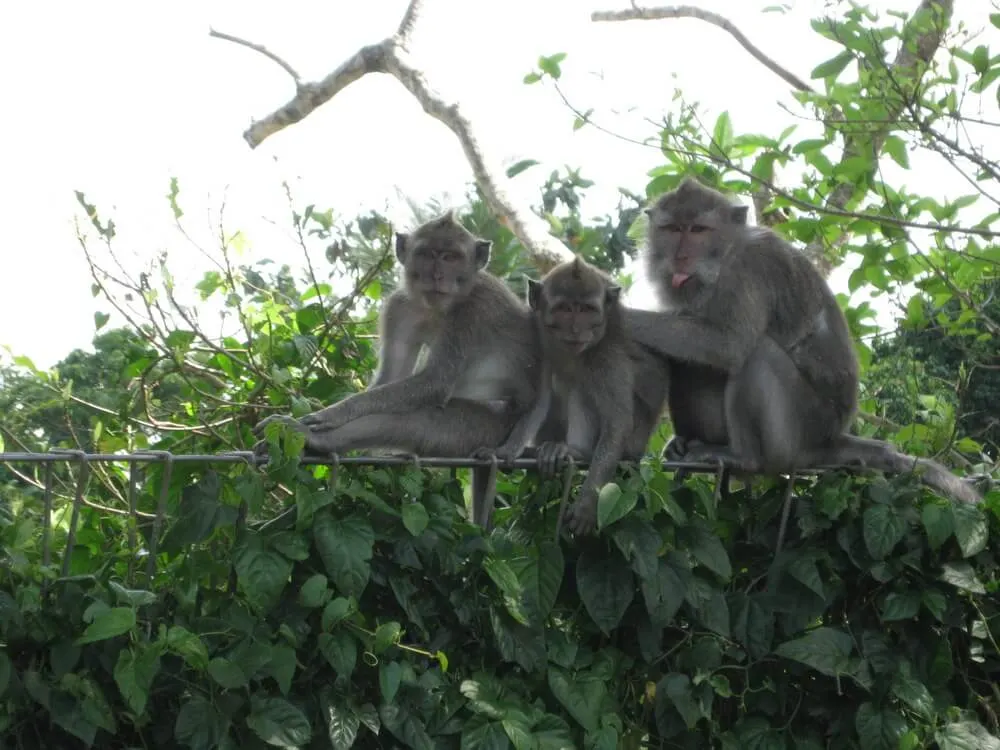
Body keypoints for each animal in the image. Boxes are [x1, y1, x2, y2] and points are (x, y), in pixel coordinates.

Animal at [254, 212, 544, 506]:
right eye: (426, 254)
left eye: (451, 257)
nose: (437, 275)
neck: (436, 307)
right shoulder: (399, 308)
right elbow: (393, 376)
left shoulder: (471, 312)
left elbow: (435, 382)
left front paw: (332, 414)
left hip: (490, 426)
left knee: (413, 420)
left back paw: (314, 439)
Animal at [620, 176, 980, 506]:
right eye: (672, 229)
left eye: (697, 230)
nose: (680, 258)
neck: (725, 256)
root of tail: (830, 439)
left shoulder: (750, 270)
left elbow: (728, 345)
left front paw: (619, 315)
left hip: (801, 429)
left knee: (756, 354)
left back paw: (743, 456)